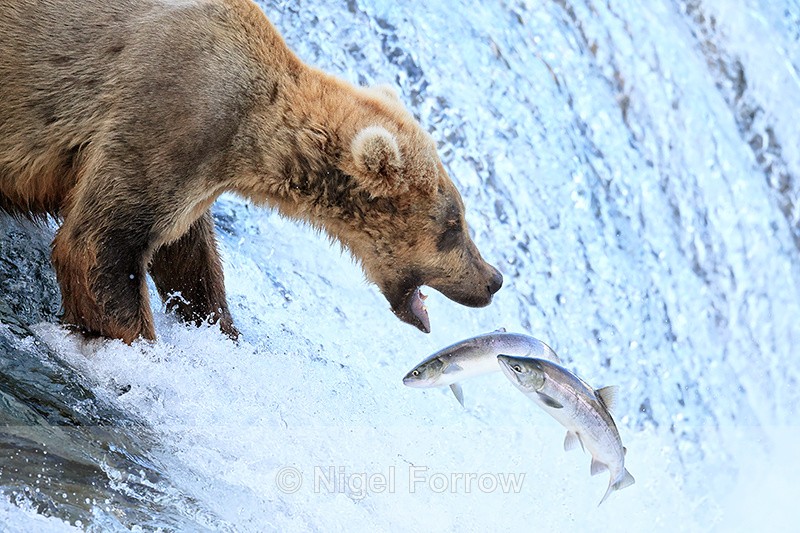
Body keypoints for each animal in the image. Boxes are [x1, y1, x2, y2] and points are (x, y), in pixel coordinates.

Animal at [0, 0, 503, 344]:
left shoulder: (193, 172)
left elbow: (188, 255)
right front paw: (137, 343)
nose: (493, 279)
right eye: (454, 224)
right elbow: (100, 245)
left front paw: (220, 328)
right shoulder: (167, 115)